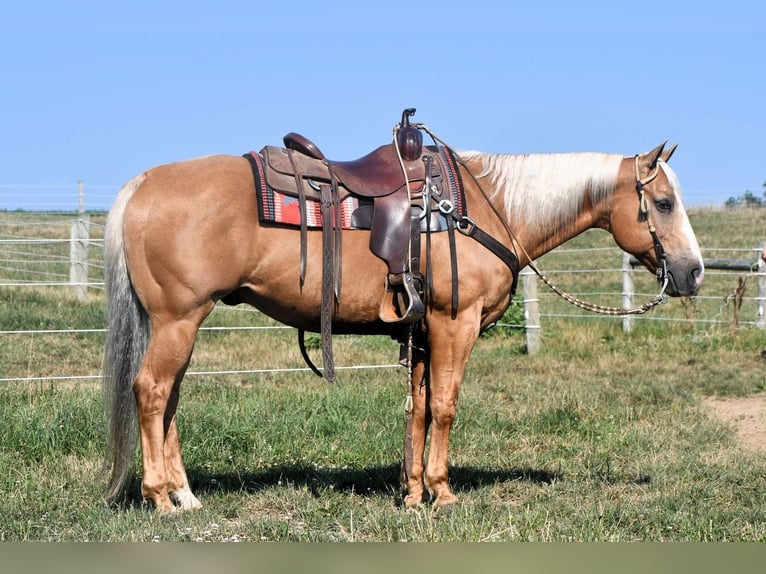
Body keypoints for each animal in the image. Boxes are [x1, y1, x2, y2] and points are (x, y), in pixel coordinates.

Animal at [103, 130, 708, 512]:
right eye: (662, 202)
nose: (694, 272)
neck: (486, 209)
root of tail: (142, 184)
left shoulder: (421, 331)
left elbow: (418, 408)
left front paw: (413, 491)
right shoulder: (454, 323)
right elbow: (444, 405)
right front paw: (442, 491)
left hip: (181, 323)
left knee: (169, 398)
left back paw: (185, 494)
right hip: (178, 319)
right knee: (151, 391)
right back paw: (159, 498)